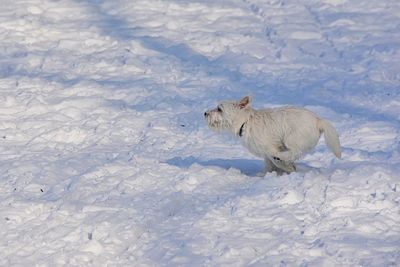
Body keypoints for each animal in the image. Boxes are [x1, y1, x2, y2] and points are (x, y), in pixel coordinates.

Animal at [205, 97, 342, 175]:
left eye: (219, 109)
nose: (205, 113)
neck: (246, 122)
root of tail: (318, 120)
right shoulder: (266, 154)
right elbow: (269, 165)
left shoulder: (271, 148)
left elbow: (276, 161)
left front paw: (288, 168)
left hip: (291, 139)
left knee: (294, 152)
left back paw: (281, 157)